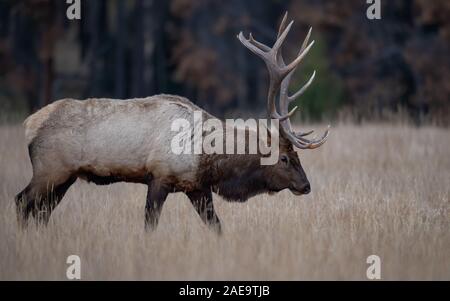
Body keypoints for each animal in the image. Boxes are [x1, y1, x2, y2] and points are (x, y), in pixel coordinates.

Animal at [15, 12, 328, 233]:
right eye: (285, 158)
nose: (306, 185)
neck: (207, 156)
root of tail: (29, 124)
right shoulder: (159, 176)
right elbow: (149, 225)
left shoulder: (197, 187)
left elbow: (216, 227)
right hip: (50, 170)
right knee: (22, 203)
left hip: (64, 177)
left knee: (41, 212)